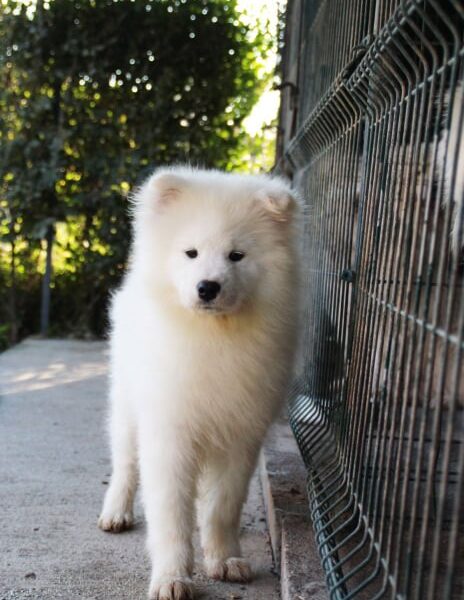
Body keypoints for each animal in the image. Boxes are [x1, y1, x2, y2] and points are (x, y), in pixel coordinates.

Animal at [99, 166, 300, 600]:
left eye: (236, 255)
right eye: (190, 252)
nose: (208, 287)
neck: (212, 337)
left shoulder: (240, 435)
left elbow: (221, 506)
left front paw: (224, 560)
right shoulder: (168, 433)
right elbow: (171, 514)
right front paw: (172, 578)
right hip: (127, 405)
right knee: (125, 464)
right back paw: (116, 512)